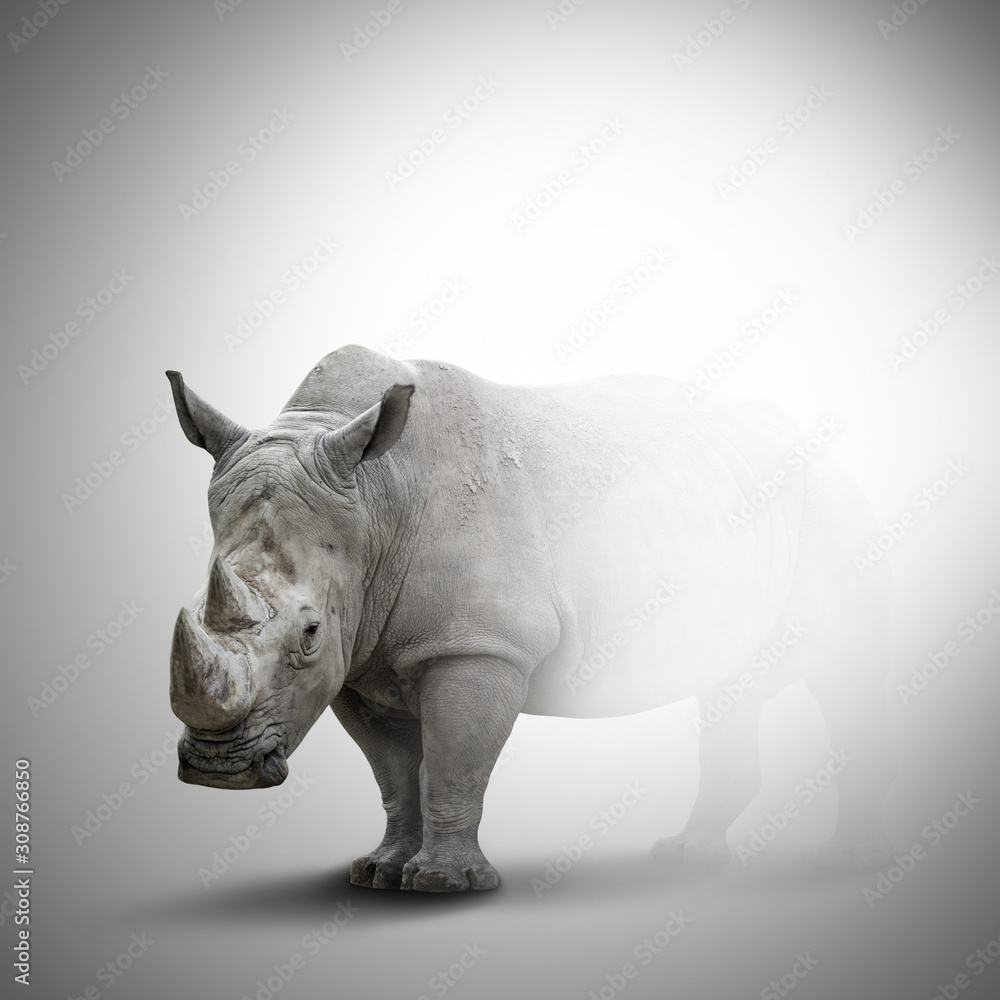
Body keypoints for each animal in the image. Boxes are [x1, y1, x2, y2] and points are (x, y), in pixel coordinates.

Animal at [166, 344, 895, 891]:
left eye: (309, 634)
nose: (218, 771)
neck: (375, 498)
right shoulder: (362, 653)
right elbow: (394, 774)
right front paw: (378, 872)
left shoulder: (479, 643)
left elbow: (455, 761)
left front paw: (442, 884)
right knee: (730, 682)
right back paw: (689, 855)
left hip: (831, 503)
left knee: (837, 671)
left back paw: (848, 863)